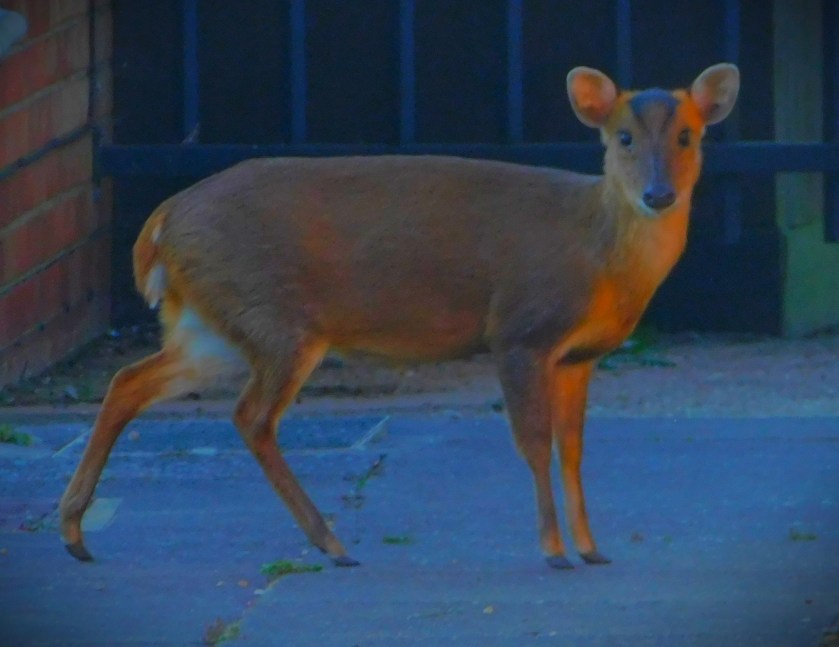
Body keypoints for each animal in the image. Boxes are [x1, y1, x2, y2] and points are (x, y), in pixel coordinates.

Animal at [59, 64, 739, 569]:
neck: (598, 252)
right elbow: (534, 442)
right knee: (250, 416)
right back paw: (332, 543)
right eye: (623, 137)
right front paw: (553, 550)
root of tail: (159, 224)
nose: (658, 194)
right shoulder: (520, 330)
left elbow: (573, 449)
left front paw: (593, 548)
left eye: (687, 135)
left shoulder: (580, 355)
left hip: (213, 324)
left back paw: (75, 532)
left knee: (129, 381)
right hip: (276, 316)